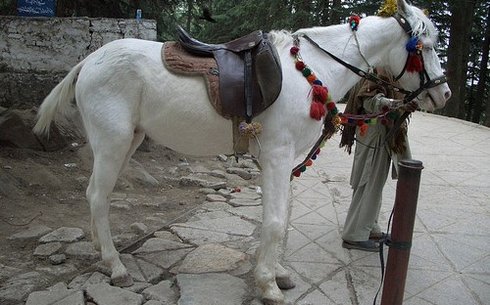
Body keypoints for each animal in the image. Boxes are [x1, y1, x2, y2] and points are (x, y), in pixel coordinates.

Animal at [35, 1, 452, 302]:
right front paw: (267, 284)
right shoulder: (276, 156)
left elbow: (280, 218)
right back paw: (116, 265)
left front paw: (278, 273)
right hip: (113, 141)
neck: (309, 71)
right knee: (97, 195)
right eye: (426, 47)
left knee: (98, 196)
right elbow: (275, 222)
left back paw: (101, 250)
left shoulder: (285, 162)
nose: (444, 93)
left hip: (127, 141)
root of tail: (91, 59)